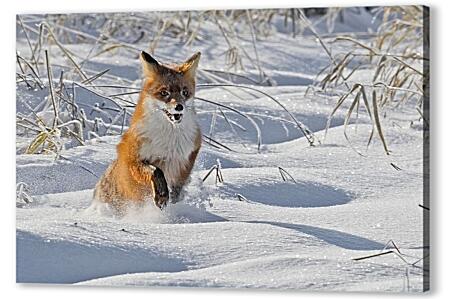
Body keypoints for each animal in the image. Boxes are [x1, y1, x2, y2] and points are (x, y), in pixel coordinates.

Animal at [93, 51, 202, 213]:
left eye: (185, 92)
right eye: (164, 92)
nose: (179, 106)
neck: (169, 142)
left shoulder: (187, 159)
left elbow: (178, 188)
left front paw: (173, 199)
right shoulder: (133, 159)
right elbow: (156, 171)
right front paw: (162, 195)